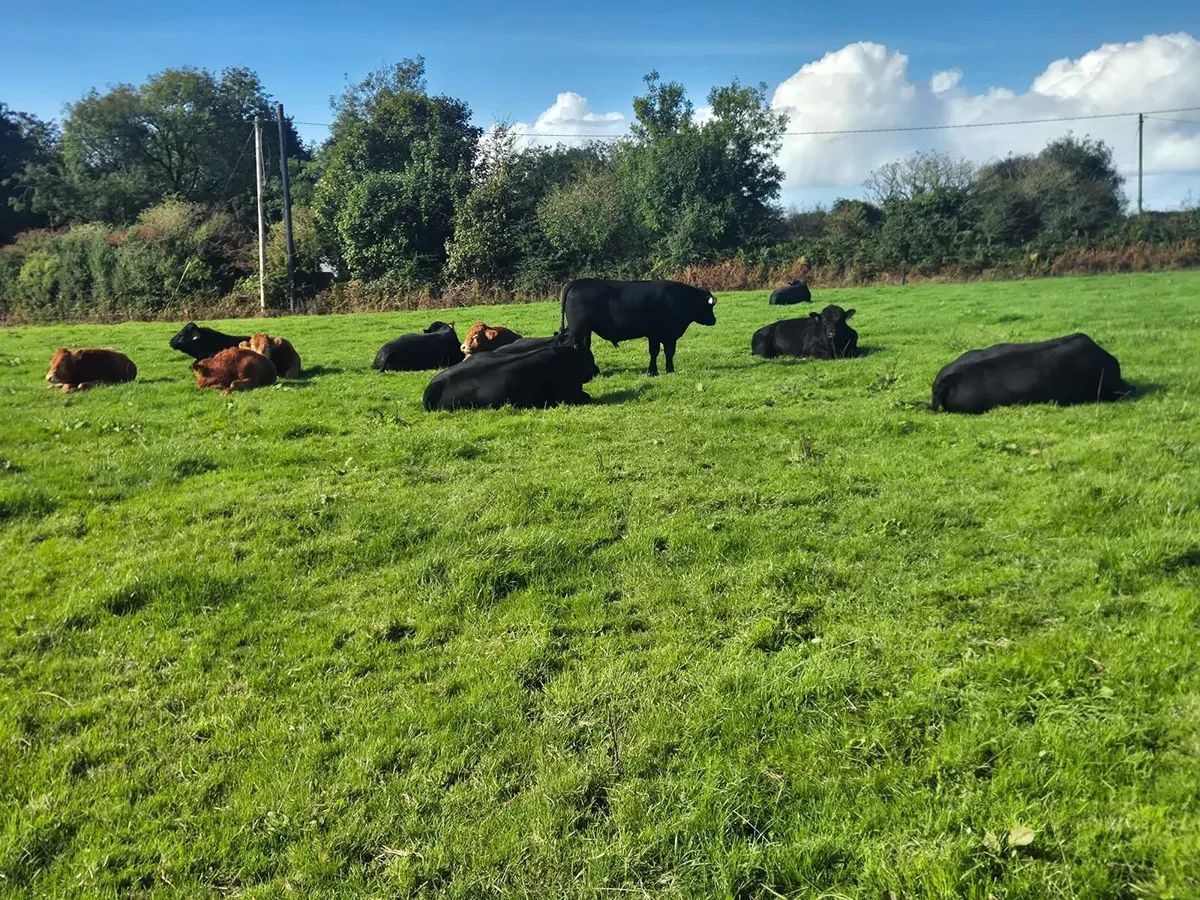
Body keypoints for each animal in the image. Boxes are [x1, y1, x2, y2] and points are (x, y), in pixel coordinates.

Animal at [560, 278, 717, 376]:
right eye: (709, 307)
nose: (714, 320)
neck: (680, 298)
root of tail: (579, 281)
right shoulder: (668, 335)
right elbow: (667, 352)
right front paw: (668, 370)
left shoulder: (654, 335)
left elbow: (654, 352)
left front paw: (653, 371)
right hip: (577, 329)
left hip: (586, 330)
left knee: (584, 347)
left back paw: (593, 372)